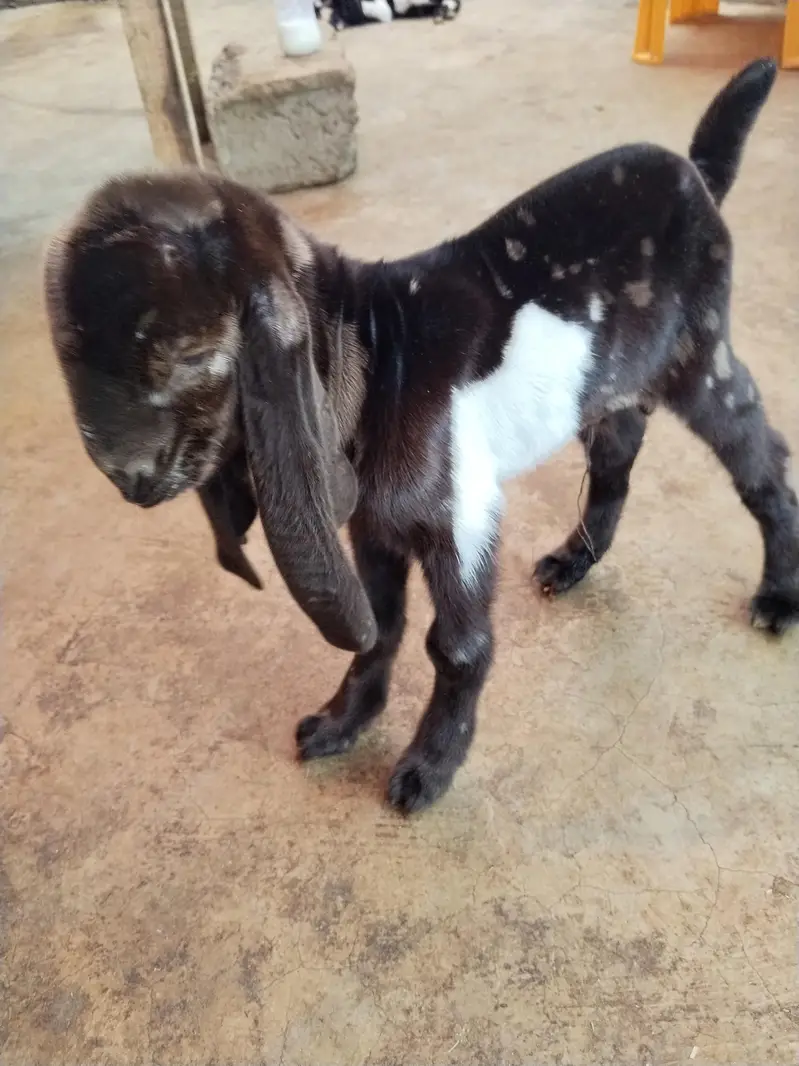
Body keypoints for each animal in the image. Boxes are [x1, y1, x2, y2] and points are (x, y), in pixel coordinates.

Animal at [45, 58, 798, 813]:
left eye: (187, 357)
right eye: (68, 364)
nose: (127, 477)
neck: (377, 352)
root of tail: (695, 172)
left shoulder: (460, 517)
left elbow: (455, 645)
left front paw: (430, 765)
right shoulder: (372, 525)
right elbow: (380, 626)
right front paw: (345, 720)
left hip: (701, 361)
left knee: (759, 460)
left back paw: (777, 595)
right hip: (606, 383)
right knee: (615, 459)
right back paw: (574, 561)